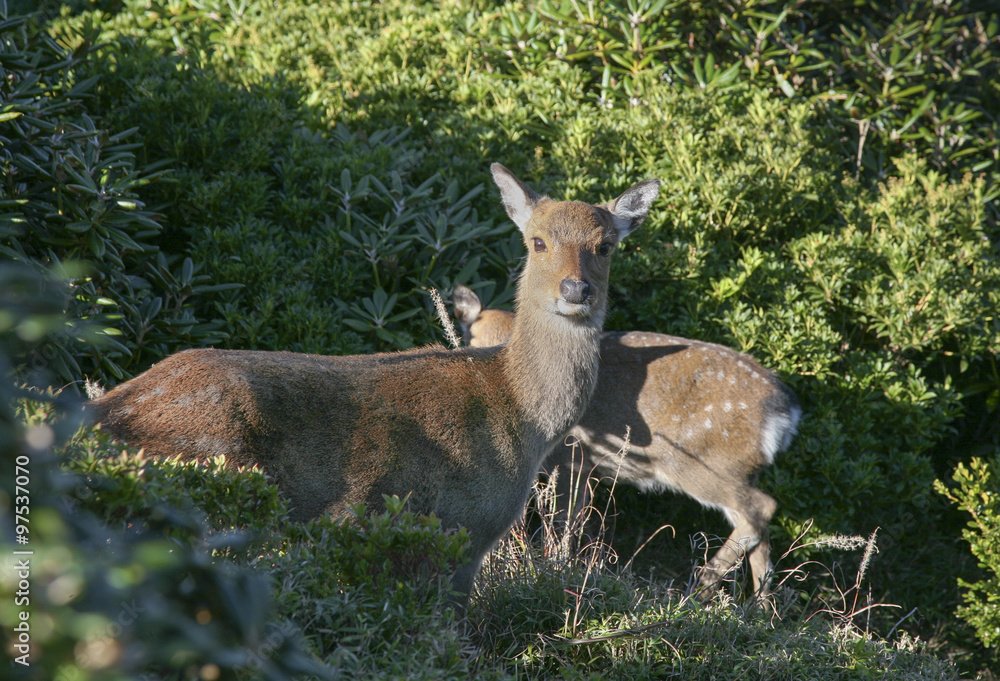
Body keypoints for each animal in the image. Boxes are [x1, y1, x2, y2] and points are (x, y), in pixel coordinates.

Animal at [86, 164, 661, 604]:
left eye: (605, 245)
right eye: (538, 241)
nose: (576, 289)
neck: (521, 413)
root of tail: (100, 416)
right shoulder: (461, 530)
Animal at [451, 285, 801, 598]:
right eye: (471, 340)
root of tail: (785, 411)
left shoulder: (571, 458)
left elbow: (564, 522)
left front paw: (557, 569)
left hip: (698, 462)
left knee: (762, 508)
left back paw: (699, 589)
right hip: (738, 469)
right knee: (755, 529)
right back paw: (757, 608)